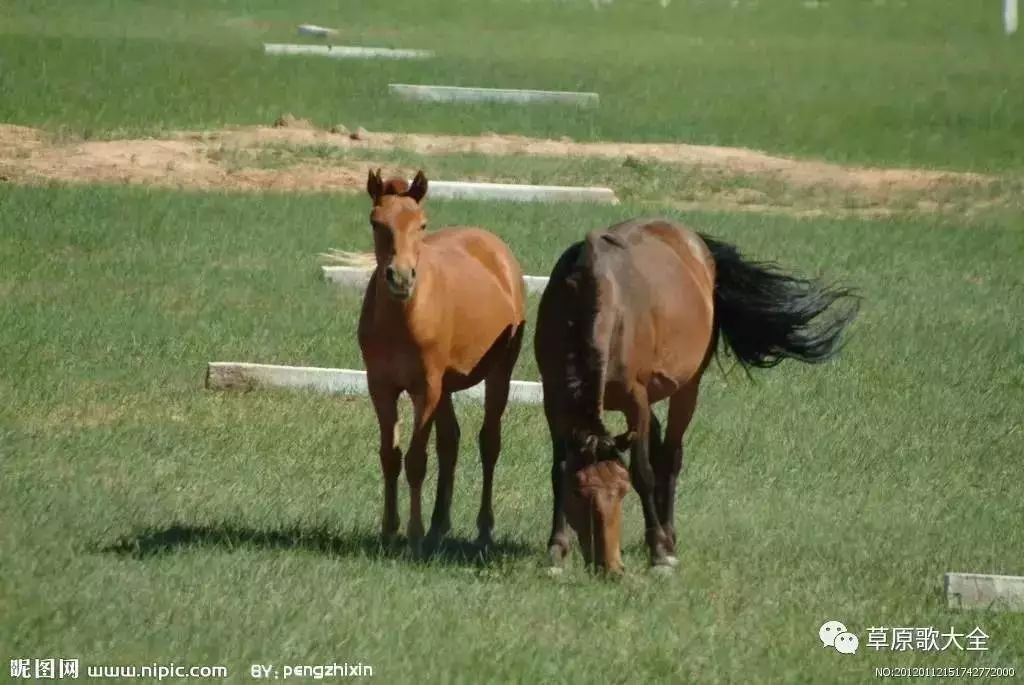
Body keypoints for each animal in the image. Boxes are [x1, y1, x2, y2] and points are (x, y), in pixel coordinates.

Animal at [356, 167, 528, 552]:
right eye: (376, 222)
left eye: (421, 224)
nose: (400, 277)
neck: (403, 318)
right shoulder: (381, 388)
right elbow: (390, 456)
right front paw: (389, 530)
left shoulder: (426, 388)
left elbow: (416, 460)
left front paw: (414, 535)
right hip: (446, 387)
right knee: (450, 443)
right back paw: (439, 525)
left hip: (497, 375)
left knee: (489, 441)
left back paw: (483, 529)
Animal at [532, 218, 860, 573]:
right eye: (579, 493)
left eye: (621, 490)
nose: (610, 567)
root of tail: (694, 242)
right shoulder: (554, 398)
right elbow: (560, 468)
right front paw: (557, 549)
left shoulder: (636, 400)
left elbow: (643, 473)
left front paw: (659, 553)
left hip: (687, 389)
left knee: (671, 456)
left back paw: (667, 537)